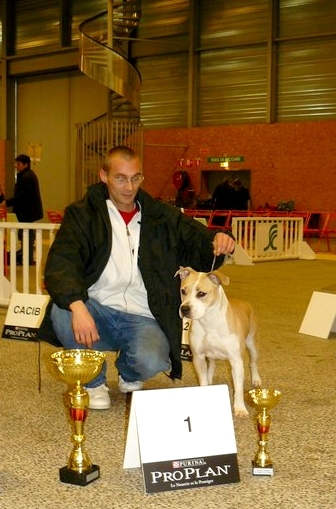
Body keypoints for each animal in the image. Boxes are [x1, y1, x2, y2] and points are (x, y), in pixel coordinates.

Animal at [176, 264, 262, 414]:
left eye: (201, 294)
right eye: (183, 291)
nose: (184, 309)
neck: (209, 322)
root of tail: (244, 302)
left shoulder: (236, 361)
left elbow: (238, 388)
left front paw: (240, 408)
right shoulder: (198, 358)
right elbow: (203, 381)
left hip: (252, 344)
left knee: (253, 362)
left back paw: (256, 379)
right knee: (211, 364)